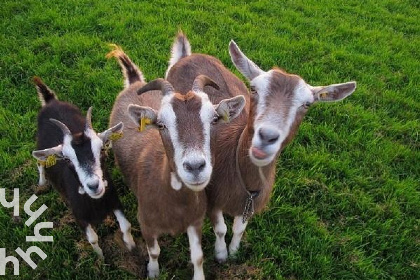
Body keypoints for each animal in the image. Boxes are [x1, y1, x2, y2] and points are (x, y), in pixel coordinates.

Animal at [32, 76, 135, 258]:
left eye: (101, 150)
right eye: (67, 159)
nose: (94, 185)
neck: (95, 203)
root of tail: (50, 101)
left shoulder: (114, 200)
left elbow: (126, 226)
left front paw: (132, 247)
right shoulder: (79, 216)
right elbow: (93, 239)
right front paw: (101, 259)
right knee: (40, 161)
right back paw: (42, 183)